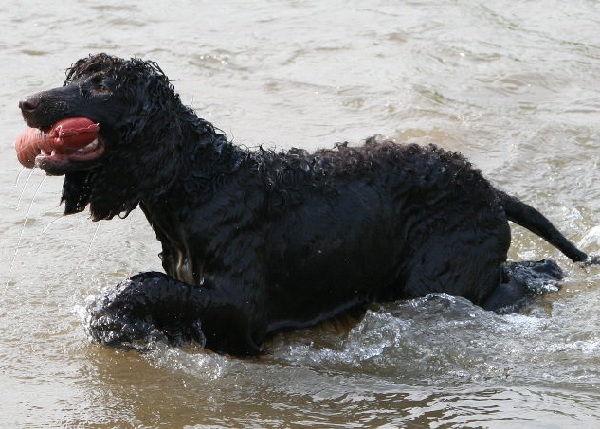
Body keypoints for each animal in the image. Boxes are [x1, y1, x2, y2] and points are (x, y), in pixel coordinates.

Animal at [16, 53, 592, 354]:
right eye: (74, 78)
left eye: (102, 86)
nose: (24, 102)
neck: (200, 182)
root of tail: (488, 187)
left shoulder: (242, 310)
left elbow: (146, 287)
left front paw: (114, 316)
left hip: (440, 279)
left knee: (521, 278)